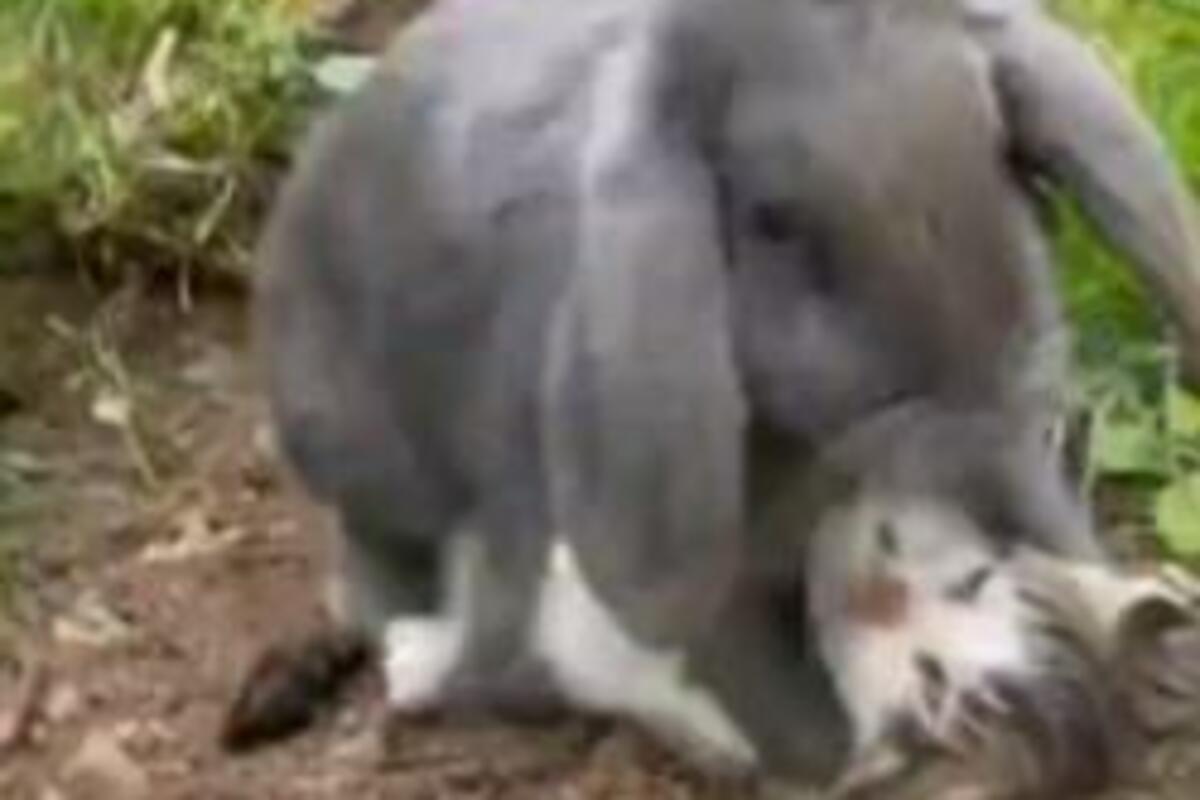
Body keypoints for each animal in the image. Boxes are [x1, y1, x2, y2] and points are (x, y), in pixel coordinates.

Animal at [222, 0, 1200, 795]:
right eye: (774, 219)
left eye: (999, 141)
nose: (974, 408)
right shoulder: (690, 566)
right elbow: (760, 688)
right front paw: (821, 760)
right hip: (368, 468)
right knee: (386, 571)